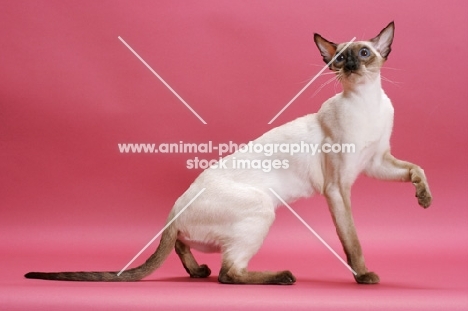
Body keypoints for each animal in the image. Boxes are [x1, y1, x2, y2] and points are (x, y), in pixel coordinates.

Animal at [24, 21, 432, 286]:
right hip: (261, 209)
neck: (366, 103)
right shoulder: (339, 186)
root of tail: (175, 208)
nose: (350, 65)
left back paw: (196, 271)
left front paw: (424, 198)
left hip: (216, 228)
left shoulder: (376, 162)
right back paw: (282, 276)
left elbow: (416, 168)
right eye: (339, 59)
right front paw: (364, 276)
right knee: (228, 274)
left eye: (364, 53)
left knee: (184, 246)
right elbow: (353, 241)